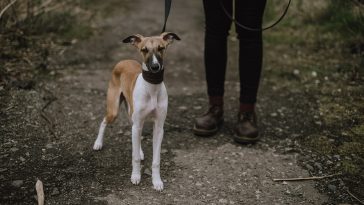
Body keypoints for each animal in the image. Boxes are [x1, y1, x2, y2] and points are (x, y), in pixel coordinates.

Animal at [93, 32, 180, 191]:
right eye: (144, 50)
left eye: (161, 48)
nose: (155, 67)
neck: (152, 88)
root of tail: (124, 60)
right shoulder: (138, 122)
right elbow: (134, 157)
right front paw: (135, 176)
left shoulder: (159, 127)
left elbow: (156, 159)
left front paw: (156, 181)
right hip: (114, 110)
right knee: (104, 121)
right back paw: (98, 143)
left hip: (133, 117)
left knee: (134, 134)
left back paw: (139, 151)